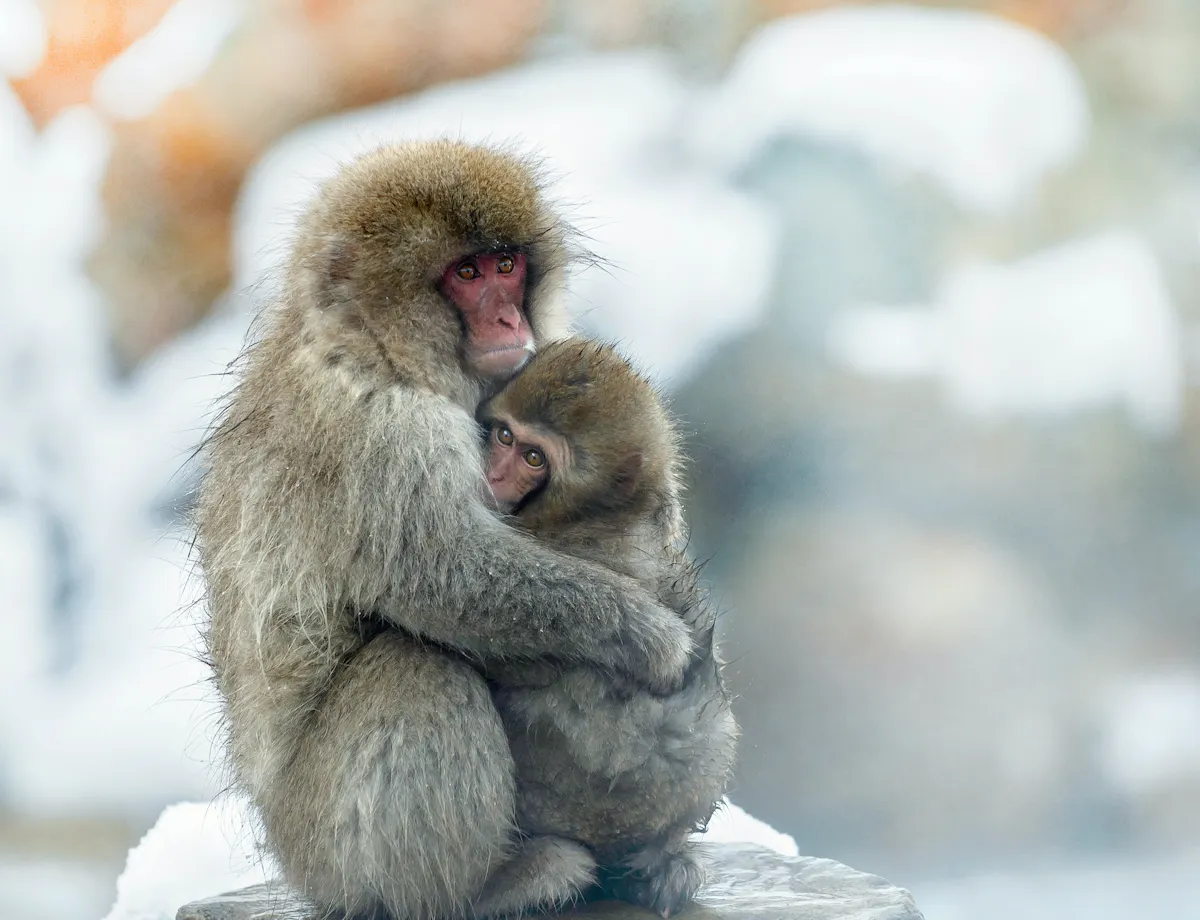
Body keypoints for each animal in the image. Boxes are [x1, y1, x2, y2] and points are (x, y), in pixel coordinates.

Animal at [195, 140, 696, 920]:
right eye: (465, 275)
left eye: (504, 264)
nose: (508, 324)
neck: (375, 347)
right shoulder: (381, 431)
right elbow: (444, 574)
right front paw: (648, 634)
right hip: (325, 848)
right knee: (418, 665)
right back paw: (489, 887)